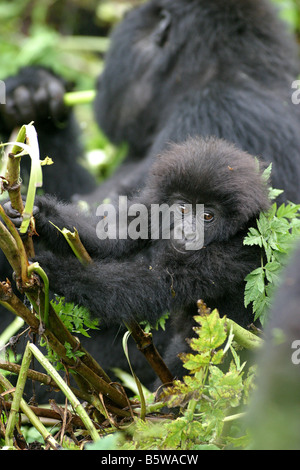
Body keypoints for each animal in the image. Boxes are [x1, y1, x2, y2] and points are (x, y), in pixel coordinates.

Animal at [4, 136, 270, 378]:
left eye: (208, 216)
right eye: (183, 208)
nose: (187, 231)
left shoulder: (234, 251)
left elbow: (150, 285)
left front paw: (53, 271)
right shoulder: (152, 206)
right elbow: (110, 242)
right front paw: (37, 213)